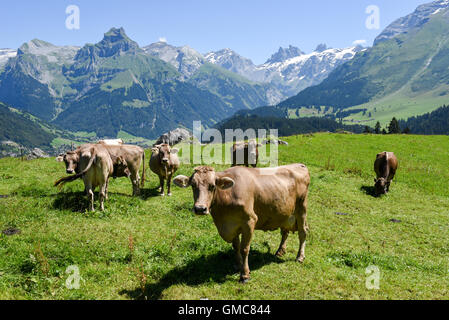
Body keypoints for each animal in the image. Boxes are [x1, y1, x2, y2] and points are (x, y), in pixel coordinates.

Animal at [173, 165, 310, 282]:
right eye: (193, 185)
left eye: (212, 186)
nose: (200, 209)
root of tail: (299, 165)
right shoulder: (232, 225)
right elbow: (236, 246)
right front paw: (238, 265)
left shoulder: (250, 221)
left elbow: (244, 248)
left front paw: (244, 274)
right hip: (285, 212)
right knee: (285, 231)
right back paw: (280, 250)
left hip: (301, 208)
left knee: (303, 232)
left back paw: (300, 256)